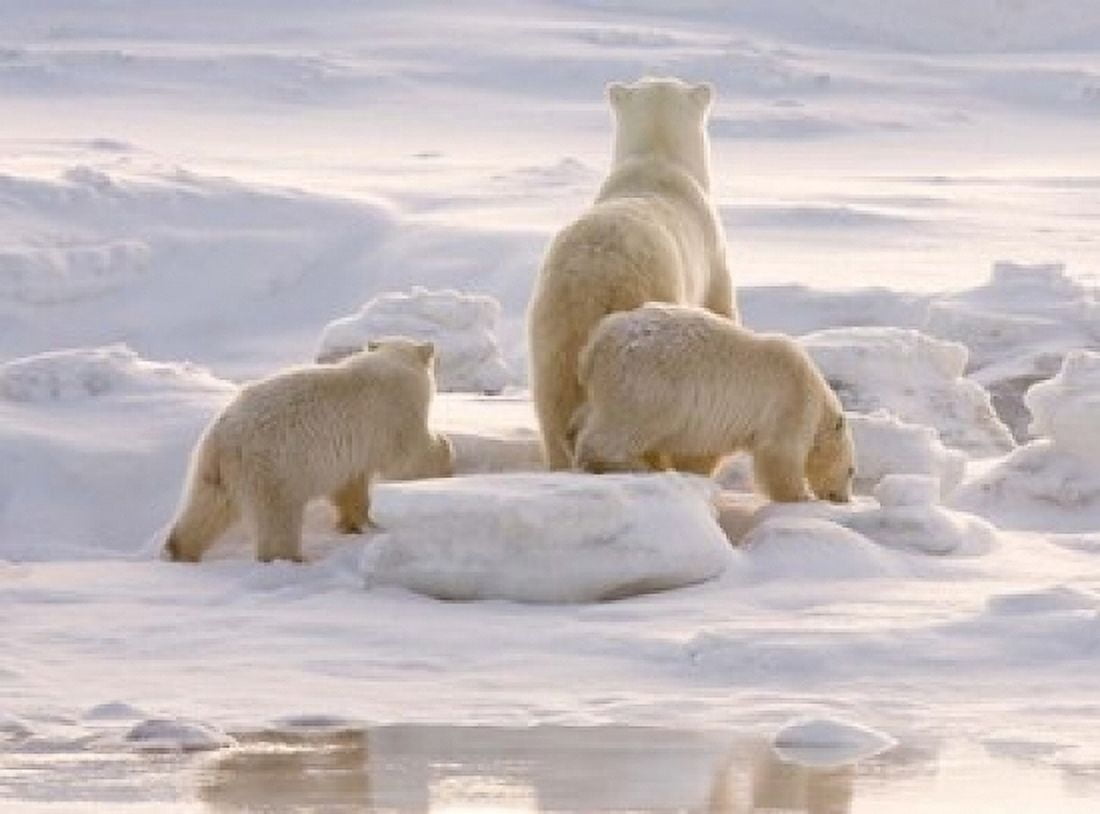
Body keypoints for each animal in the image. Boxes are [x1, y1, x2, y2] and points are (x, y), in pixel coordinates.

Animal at [164, 338, 454, 563]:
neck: (393, 362)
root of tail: (222, 439)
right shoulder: (393, 414)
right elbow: (411, 456)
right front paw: (445, 459)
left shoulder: (353, 452)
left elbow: (350, 484)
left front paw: (356, 523)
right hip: (273, 468)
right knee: (278, 519)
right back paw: (292, 558)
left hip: (211, 469)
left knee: (206, 506)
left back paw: (180, 550)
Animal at [526, 76, 736, 471]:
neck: (656, 160)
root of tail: (597, 275)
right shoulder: (713, 257)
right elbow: (720, 309)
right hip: (649, 303)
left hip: (554, 321)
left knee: (554, 398)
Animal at [571, 303, 854, 503]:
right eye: (851, 470)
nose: (842, 498)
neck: (819, 401)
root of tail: (597, 344)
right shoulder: (791, 403)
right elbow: (780, 454)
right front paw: (799, 496)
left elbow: (700, 453)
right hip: (649, 383)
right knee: (624, 427)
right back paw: (630, 465)